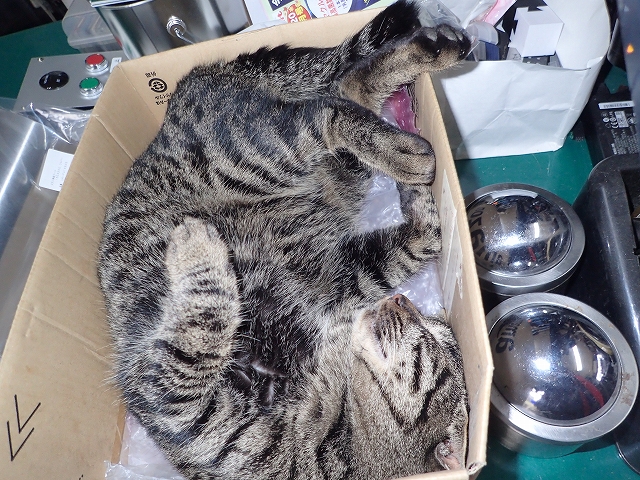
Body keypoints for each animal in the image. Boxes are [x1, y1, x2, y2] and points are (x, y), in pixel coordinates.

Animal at [97, 0, 471, 478]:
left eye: (432, 340)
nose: (404, 302)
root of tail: (186, 90)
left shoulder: (186, 399)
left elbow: (202, 325)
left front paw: (196, 246)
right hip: (262, 154)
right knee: (339, 98)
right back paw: (427, 75)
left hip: (295, 165)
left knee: (334, 102)